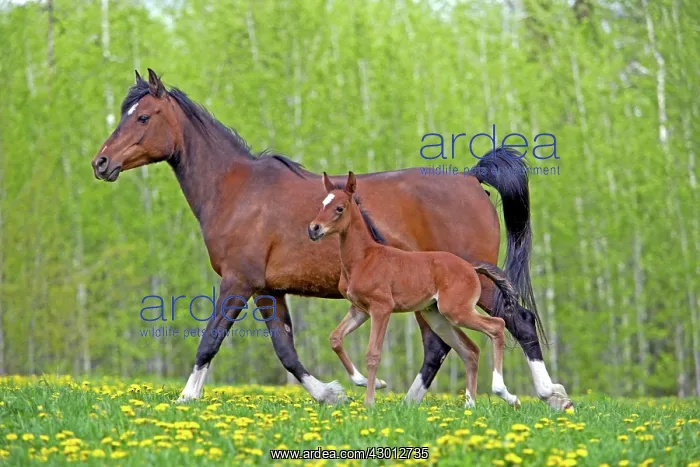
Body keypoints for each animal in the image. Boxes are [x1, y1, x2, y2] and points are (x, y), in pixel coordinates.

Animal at [309, 172, 523, 408]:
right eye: (322, 204)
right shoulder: (360, 310)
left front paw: (370, 402)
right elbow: (336, 338)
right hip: (438, 317)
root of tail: (471, 267)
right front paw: (368, 382)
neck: (363, 258)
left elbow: (373, 354)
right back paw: (471, 405)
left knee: (497, 326)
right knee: (471, 350)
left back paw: (504, 393)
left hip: (457, 312)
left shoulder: (381, 308)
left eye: (339, 208)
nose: (314, 229)